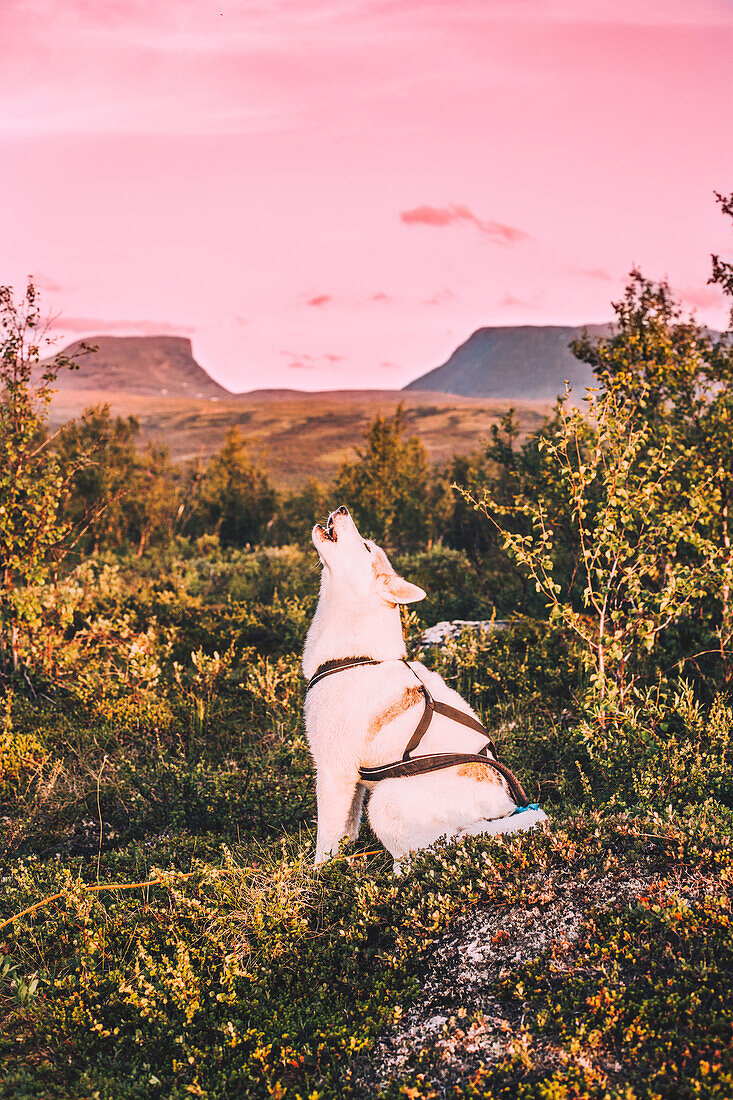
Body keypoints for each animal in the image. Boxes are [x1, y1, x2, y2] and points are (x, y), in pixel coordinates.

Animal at [299, 503, 545, 871]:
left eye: (366, 547)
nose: (342, 508)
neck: (356, 656)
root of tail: (503, 811)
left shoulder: (334, 769)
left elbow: (326, 836)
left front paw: (318, 875)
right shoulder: (353, 780)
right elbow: (347, 828)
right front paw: (344, 859)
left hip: (385, 798)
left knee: (422, 855)